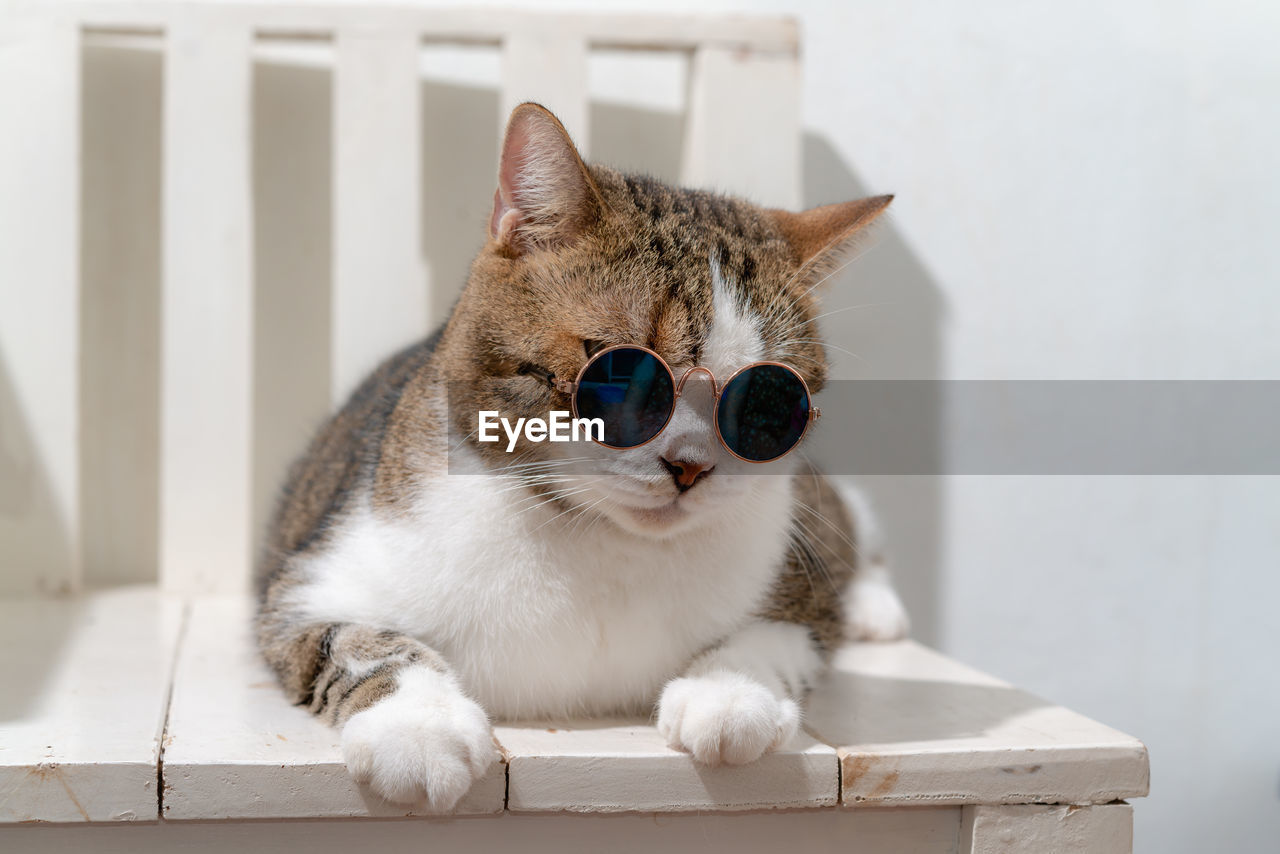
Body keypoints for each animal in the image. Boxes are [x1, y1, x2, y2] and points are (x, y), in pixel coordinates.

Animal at [252, 103, 911, 814]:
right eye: (619, 374)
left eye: (766, 402)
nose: (691, 465)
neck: (601, 545)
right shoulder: (306, 583)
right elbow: (359, 641)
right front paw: (418, 726)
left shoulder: (799, 581)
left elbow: (780, 633)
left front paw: (731, 691)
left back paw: (874, 609)